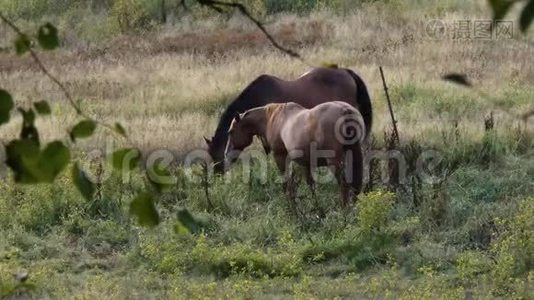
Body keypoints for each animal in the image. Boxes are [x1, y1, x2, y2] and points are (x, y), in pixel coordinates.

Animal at [224, 101, 366, 206]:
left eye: (230, 132)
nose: (226, 154)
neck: (272, 119)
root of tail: (345, 110)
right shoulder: (307, 163)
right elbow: (311, 185)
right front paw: (317, 209)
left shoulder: (281, 158)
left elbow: (287, 184)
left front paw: (291, 207)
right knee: (355, 184)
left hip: (335, 162)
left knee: (344, 185)